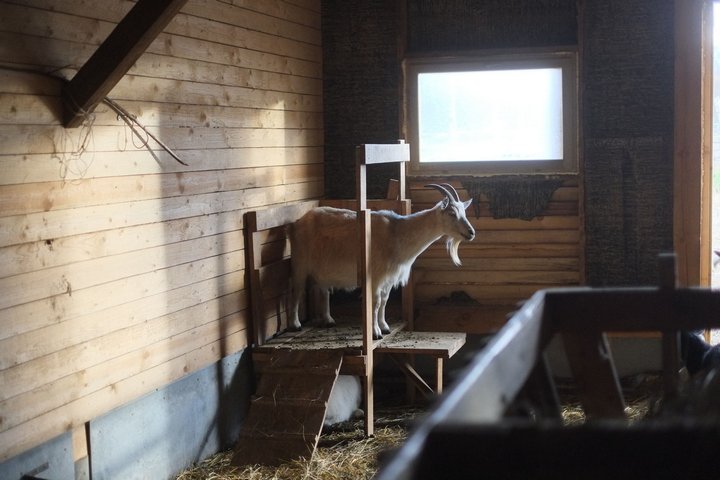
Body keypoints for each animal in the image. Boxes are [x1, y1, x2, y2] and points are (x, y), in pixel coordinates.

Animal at [290, 183, 476, 338]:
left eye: (464, 212)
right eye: (452, 213)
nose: (471, 232)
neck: (396, 233)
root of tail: (298, 222)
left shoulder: (389, 277)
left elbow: (385, 300)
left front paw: (385, 327)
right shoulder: (375, 276)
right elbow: (376, 302)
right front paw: (375, 333)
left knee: (323, 289)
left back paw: (328, 320)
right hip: (300, 262)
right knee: (297, 290)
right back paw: (295, 324)